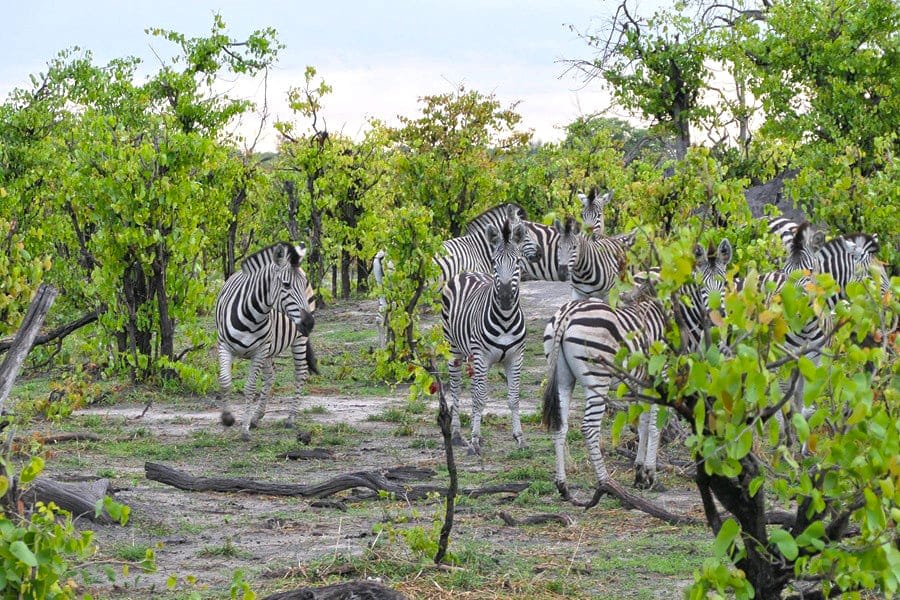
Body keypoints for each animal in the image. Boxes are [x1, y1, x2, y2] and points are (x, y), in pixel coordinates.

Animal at [214, 242, 317, 441]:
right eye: (286, 285)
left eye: (302, 285)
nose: (309, 323)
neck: (252, 314)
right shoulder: (224, 346)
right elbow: (224, 381)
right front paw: (228, 418)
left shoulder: (259, 351)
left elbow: (249, 387)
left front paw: (244, 430)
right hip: (270, 349)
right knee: (271, 376)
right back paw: (256, 417)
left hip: (298, 339)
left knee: (300, 373)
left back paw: (290, 418)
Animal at [441, 219, 527, 454]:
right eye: (494, 263)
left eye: (517, 262)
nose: (505, 298)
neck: (505, 320)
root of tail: (465, 272)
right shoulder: (483, 357)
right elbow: (480, 398)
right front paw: (474, 441)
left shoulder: (515, 357)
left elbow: (514, 398)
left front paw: (519, 437)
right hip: (454, 348)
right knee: (456, 387)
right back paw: (457, 435)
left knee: (472, 389)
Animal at [542, 239, 733, 497]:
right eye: (700, 284)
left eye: (724, 283)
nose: (716, 316)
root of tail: (567, 314)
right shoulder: (664, 374)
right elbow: (655, 425)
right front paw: (650, 474)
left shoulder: (646, 380)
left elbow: (642, 422)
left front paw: (640, 472)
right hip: (597, 378)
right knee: (589, 427)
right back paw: (606, 482)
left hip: (563, 377)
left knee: (559, 425)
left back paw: (562, 485)